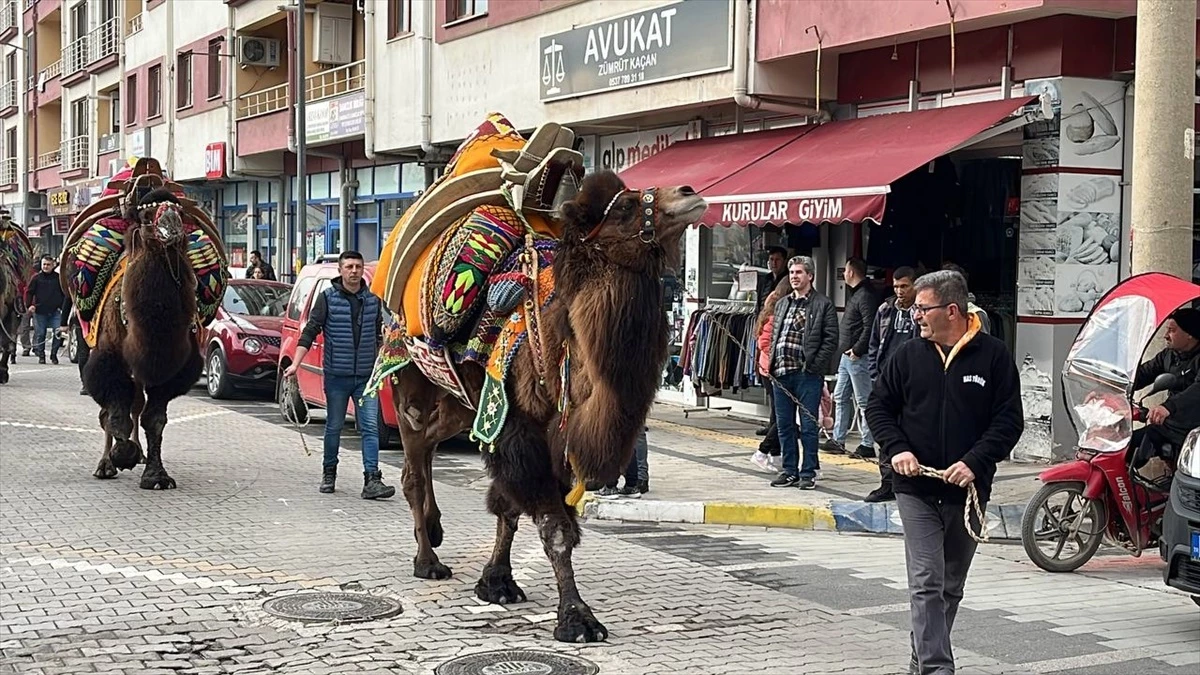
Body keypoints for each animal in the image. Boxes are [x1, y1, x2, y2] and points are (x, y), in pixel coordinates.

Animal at [87, 186, 208, 485]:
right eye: (146, 215)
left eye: (179, 212)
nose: (172, 226)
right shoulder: (109, 357)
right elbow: (114, 414)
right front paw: (121, 456)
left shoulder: (172, 369)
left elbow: (154, 420)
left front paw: (156, 475)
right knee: (113, 409)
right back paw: (107, 465)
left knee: (137, 404)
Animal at [393, 169, 700, 638]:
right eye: (625, 207)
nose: (689, 193)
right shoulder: (514, 424)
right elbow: (552, 526)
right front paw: (577, 617)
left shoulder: (547, 435)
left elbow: (510, 508)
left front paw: (497, 581)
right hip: (411, 384)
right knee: (412, 460)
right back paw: (427, 559)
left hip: (462, 406)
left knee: (429, 442)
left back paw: (433, 526)